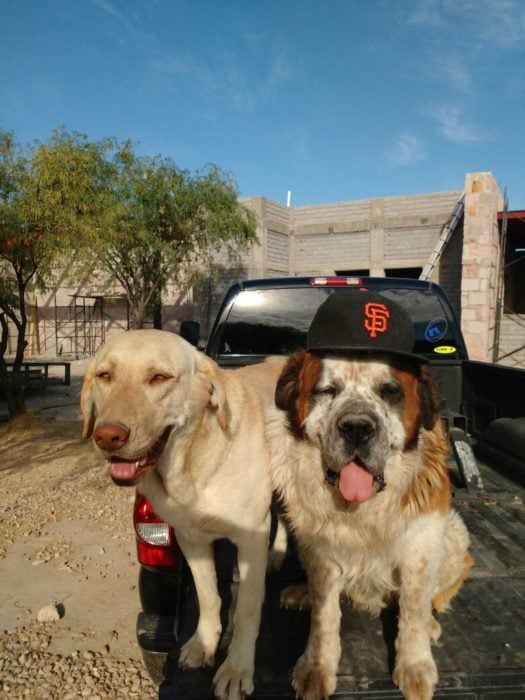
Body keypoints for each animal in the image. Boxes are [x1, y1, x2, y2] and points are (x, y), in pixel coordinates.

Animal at [80, 330, 284, 700]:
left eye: (159, 378)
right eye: (105, 375)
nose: (107, 436)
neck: (193, 460)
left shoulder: (250, 540)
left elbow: (246, 610)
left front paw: (237, 668)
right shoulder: (191, 539)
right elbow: (207, 596)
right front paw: (204, 644)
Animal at [268, 350, 472, 700]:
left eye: (389, 392)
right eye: (327, 391)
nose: (357, 428)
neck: (362, 509)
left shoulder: (423, 543)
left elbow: (414, 607)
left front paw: (414, 665)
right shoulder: (321, 550)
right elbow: (326, 613)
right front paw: (317, 666)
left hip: (454, 535)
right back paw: (302, 593)